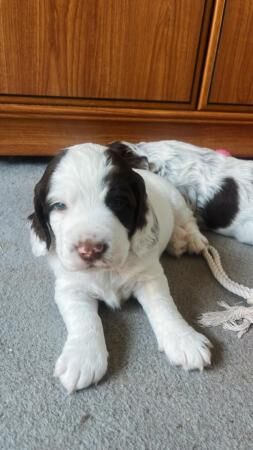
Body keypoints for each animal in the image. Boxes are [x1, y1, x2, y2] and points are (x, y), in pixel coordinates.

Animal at [28, 142, 211, 392]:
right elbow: (84, 319)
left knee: (187, 220)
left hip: (176, 199)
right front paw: (82, 357)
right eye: (59, 206)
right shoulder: (70, 288)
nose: (90, 250)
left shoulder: (149, 277)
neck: (106, 271)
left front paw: (183, 338)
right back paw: (177, 242)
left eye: (117, 203)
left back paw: (190, 239)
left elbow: (164, 306)